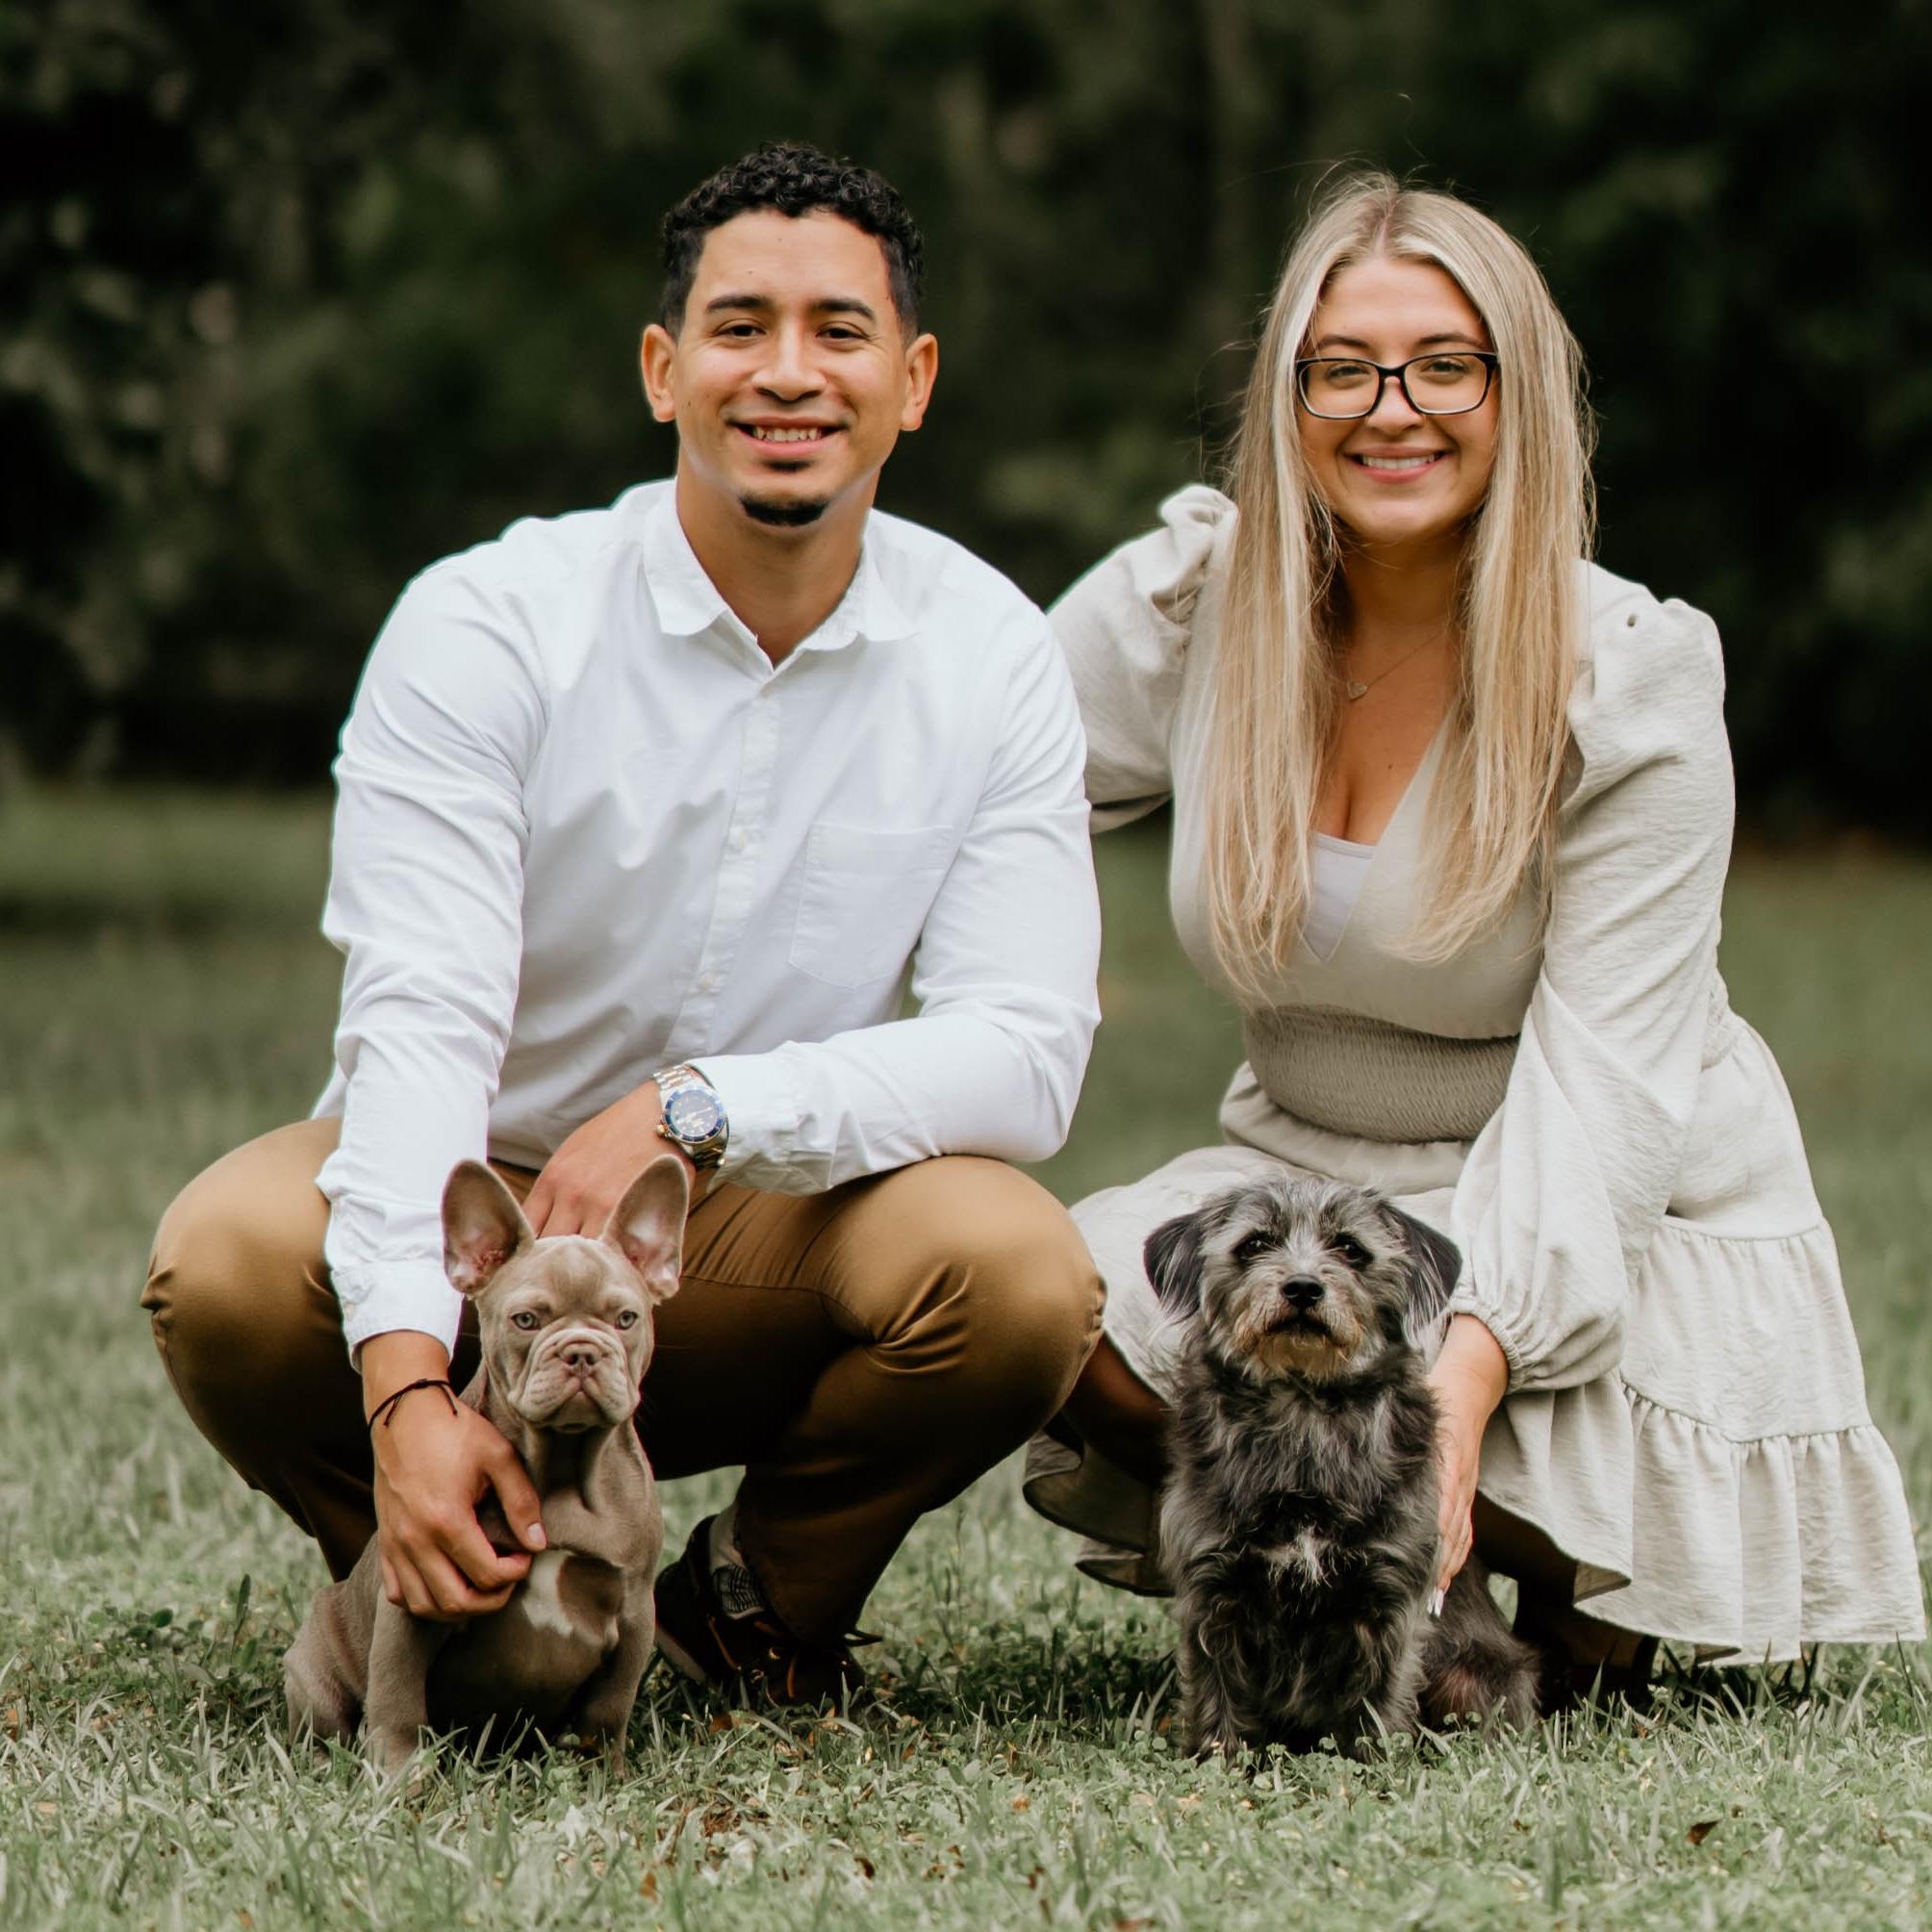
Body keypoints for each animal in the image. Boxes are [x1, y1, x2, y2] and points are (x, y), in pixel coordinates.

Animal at [283, 1154, 687, 1774]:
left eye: (626, 1319)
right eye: (525, 1321)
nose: (581, 1351)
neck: (562, 1467)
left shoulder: (635, 1611)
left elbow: (609, 1708)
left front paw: (605, 1775)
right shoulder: (416, 1598)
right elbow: (398, 1697)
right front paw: (399, 1776)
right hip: (314, 1664)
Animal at [1147, 1177, 1538, 1758]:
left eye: (1351, 1249)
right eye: (1254, 1245)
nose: (1303, 1288)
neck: (1303, 1414)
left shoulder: (1389, 1597)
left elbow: (1379, 1700)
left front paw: (1374, 1767)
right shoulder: (1211, 1589)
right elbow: (1216, 1693)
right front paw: (1217, 1761)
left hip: (1475, 1674)